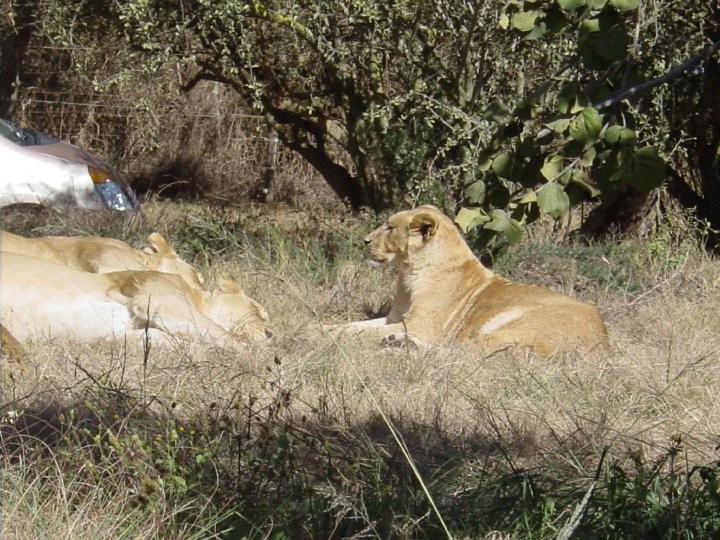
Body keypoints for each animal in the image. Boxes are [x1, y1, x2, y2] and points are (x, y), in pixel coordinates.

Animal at [333, 205, 609, 357]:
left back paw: (395, 349)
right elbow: (354, 326)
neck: (409, 273)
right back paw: (399, 343)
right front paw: (328, 327)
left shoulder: (421, 325)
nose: (365, 241)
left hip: (507, 330)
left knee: (459, 356)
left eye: (390, 227)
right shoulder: (396, 319)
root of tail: (602, 346)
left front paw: (325, 336)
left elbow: (358, 332)